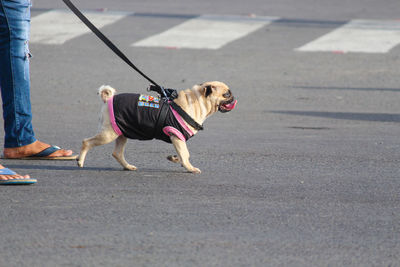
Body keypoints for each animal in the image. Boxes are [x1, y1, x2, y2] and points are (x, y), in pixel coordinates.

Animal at [76, 81, 236, 174]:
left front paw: (175, 159)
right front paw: (190, 168)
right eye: (226, 94)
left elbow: (183, 154)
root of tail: (108, 99)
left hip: (121, 132)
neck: (197, 102)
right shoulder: (176, 135)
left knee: (117, 153)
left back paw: (128, 167)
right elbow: (186, 154)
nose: (234, 97)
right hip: (108, 134)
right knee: (86, 142)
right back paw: (80, 161)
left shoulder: (178, 139)